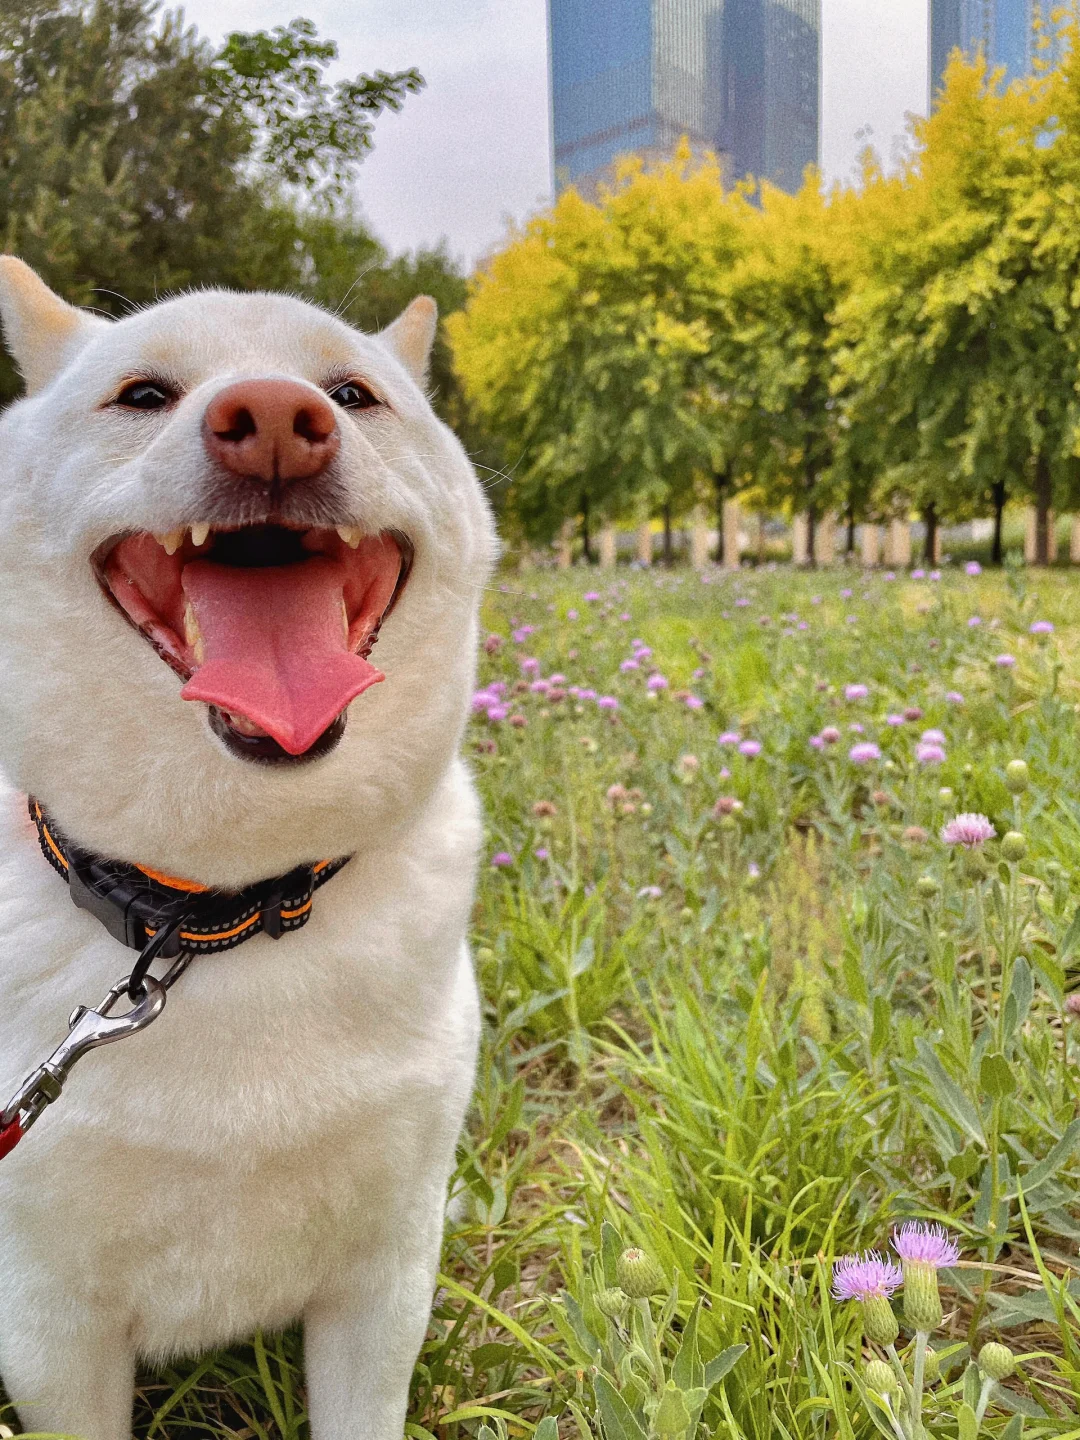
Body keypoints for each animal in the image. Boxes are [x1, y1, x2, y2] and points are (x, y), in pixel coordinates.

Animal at [0, 262, 498, 1440]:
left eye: (355, 394)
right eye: (142, 394)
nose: (275, 420)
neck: (214, 910)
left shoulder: (383, 1281)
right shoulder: (47, 1324)